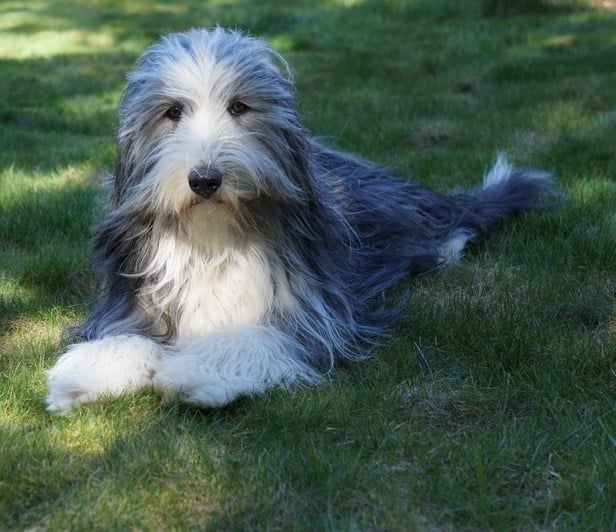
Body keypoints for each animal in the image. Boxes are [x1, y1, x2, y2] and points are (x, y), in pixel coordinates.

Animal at [44, 27, 552, 414]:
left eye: (239, 107)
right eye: (172, 112)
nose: (204, 179)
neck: (213, 237)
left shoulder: (316, 310)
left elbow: (255, 337)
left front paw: (193, 371)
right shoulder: (133, 296)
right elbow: (127, 336)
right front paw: (87, 373)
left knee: (448, 221)